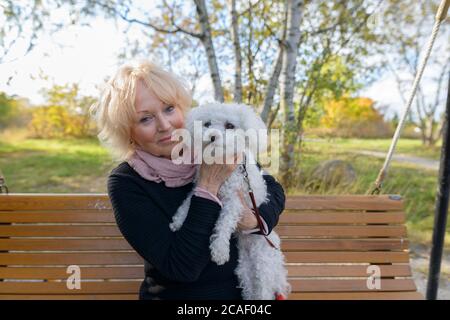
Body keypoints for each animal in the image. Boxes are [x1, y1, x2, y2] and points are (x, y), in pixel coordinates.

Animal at [170, 102, 292, 300]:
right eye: (207, 124)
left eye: (229, 126)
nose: (212, 136)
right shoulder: (202, 187)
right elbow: (188, 202)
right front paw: (178, 220)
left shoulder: (233, 202)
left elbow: (223, 224)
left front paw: (219, 250)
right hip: (244, 271)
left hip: (263, 266)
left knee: (264, 291)